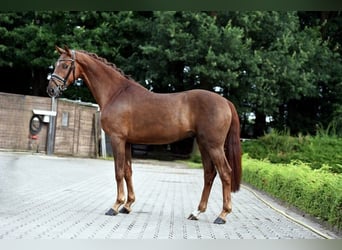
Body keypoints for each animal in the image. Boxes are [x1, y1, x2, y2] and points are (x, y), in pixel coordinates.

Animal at [46, 46, 242, 224]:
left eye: (65, 65)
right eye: (56, 64)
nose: (51, 90)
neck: (115, 93)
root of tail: (225, 101)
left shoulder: (117, 139)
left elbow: (118, 172)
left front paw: (115, 206)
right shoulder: (127, 142)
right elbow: (128, 171)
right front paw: (128, 205)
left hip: (214, 146)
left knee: (225, 173)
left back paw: (222, 215)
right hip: (203, 144)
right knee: (209, 174)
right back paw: (196, 212)